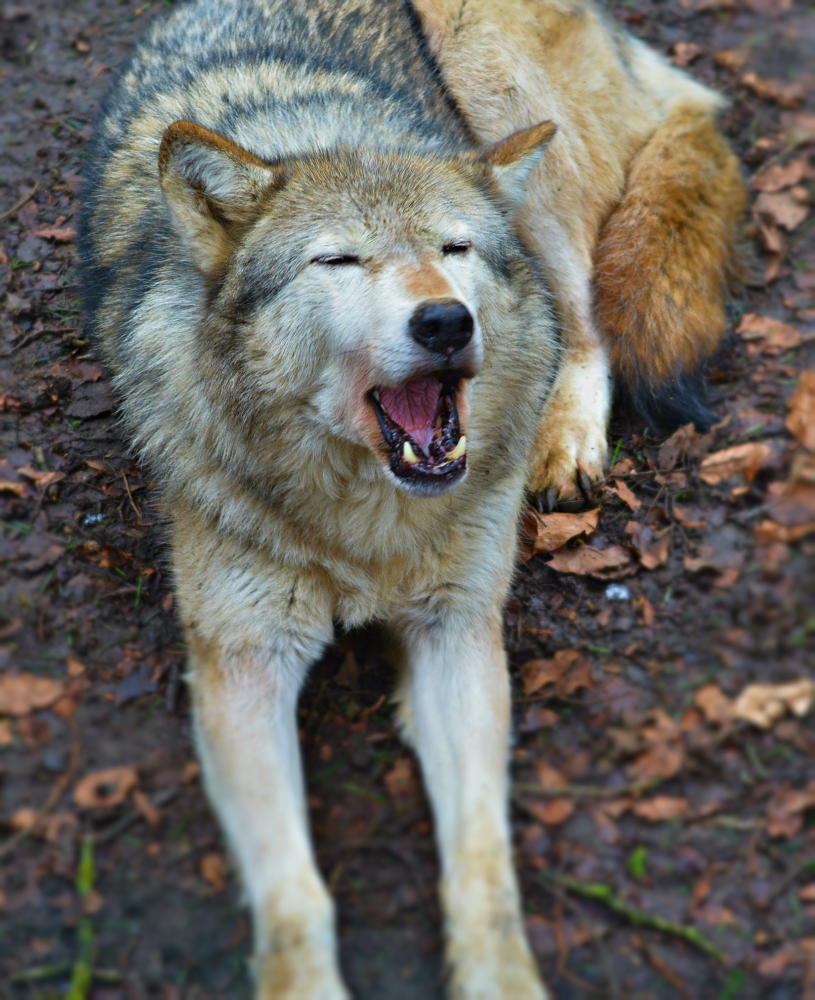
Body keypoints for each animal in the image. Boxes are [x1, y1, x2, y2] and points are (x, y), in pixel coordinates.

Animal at [79, 0, 743, 996]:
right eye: (339, 261)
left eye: (451, 248)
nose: (444, 322)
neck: (365, 528)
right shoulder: (242, 665)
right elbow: (295, 896)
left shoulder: (458, 633)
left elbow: (483, 866)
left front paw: (501, 980)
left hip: (496, 84)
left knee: (581, 309)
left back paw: (565, 439)